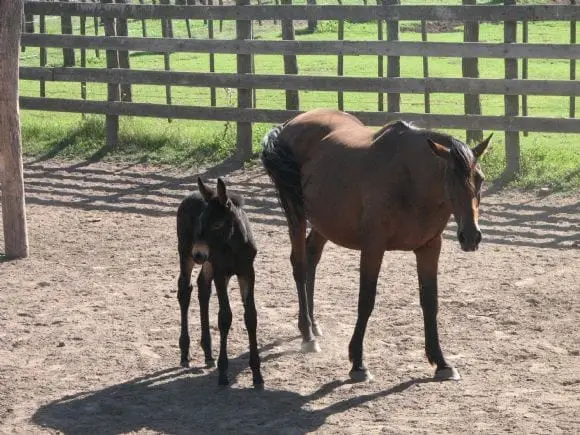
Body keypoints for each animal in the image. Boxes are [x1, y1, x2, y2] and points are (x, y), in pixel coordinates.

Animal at [173, 179, 262, 390]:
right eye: (200, 221)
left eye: (217, 223)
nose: (198, 254)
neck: (234, 245)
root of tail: (190, 195)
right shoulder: (221, 273)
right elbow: (224, 317)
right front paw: (223, 374)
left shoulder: (247, 273)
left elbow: (251, 316)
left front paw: (257, 374)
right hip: (186, 253)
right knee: (185, 290)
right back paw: (185, 351)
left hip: (207, 263)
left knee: (203, 287)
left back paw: (207, 351)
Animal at [260, 110, 492, 384]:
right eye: (449, 178)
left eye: (480, 179)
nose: (471, 236)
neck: (409, 180)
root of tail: (288, 125)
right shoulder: (373, 247)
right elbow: (366, 301)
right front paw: (358, 363)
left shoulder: (429, 248)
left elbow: (430, 302)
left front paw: (441, 362)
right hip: (296, 212)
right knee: (300, 264)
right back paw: (308, 335)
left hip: (326, 222)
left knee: (312, 257)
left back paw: (313, 325)